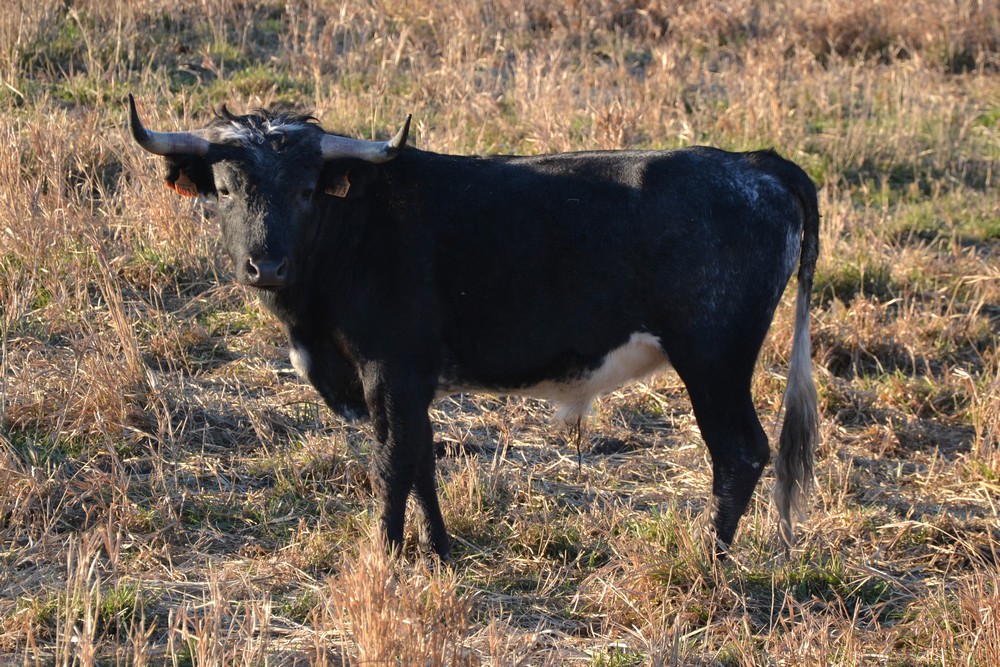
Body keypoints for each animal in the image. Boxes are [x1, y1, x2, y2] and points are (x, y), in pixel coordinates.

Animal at [127, 94, 819, 559]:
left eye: (305, 190)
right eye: (223, 188)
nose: (265, 265)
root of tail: (754, 163)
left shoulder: (389, 370)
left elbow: (391, 462)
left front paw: (387, 556)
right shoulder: (410, 384)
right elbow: (420, 461)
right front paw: (438, 550)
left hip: (714, 359)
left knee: (739, 453)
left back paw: (710, 561)